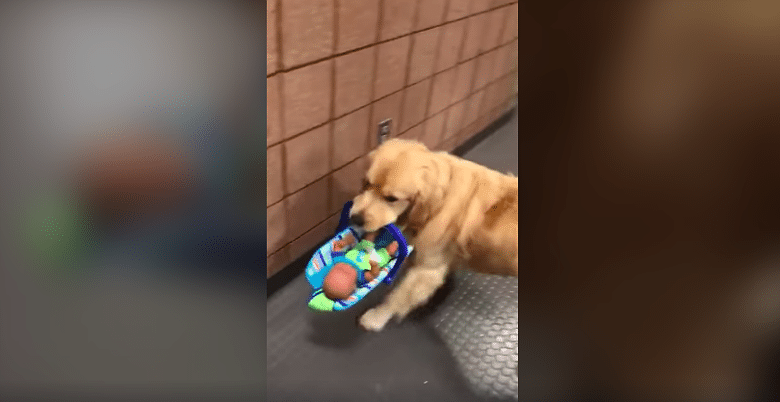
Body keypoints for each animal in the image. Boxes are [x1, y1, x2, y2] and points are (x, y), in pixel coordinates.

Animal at [352, 140, 516, 332]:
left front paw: (376, 318)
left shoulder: (427, 270)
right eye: (367, 184)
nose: (354, 218)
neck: (440, 201)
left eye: (391, 198)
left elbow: (396, 297)